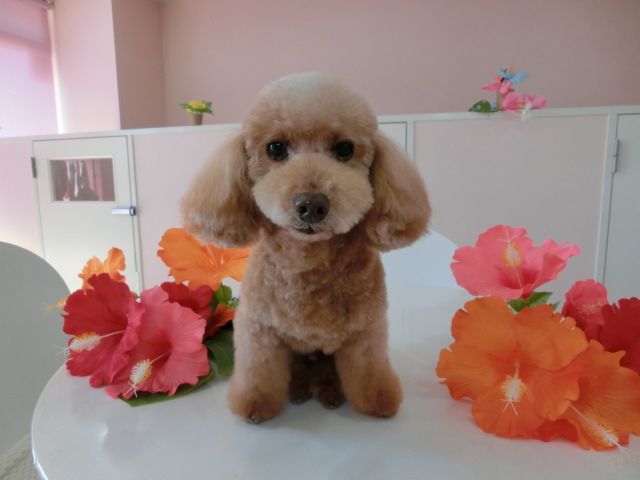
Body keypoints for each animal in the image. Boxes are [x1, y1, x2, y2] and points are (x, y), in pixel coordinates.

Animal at [181, 72, 430, 423]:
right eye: (275, 148)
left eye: (344, 148)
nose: (311, 205)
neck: (308, 262)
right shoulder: (258, 328)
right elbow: (259, 371)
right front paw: (255, 404)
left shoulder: (367, 331)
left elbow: (369, 370)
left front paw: (378, 400)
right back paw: (300, 389)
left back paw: (329, 392)